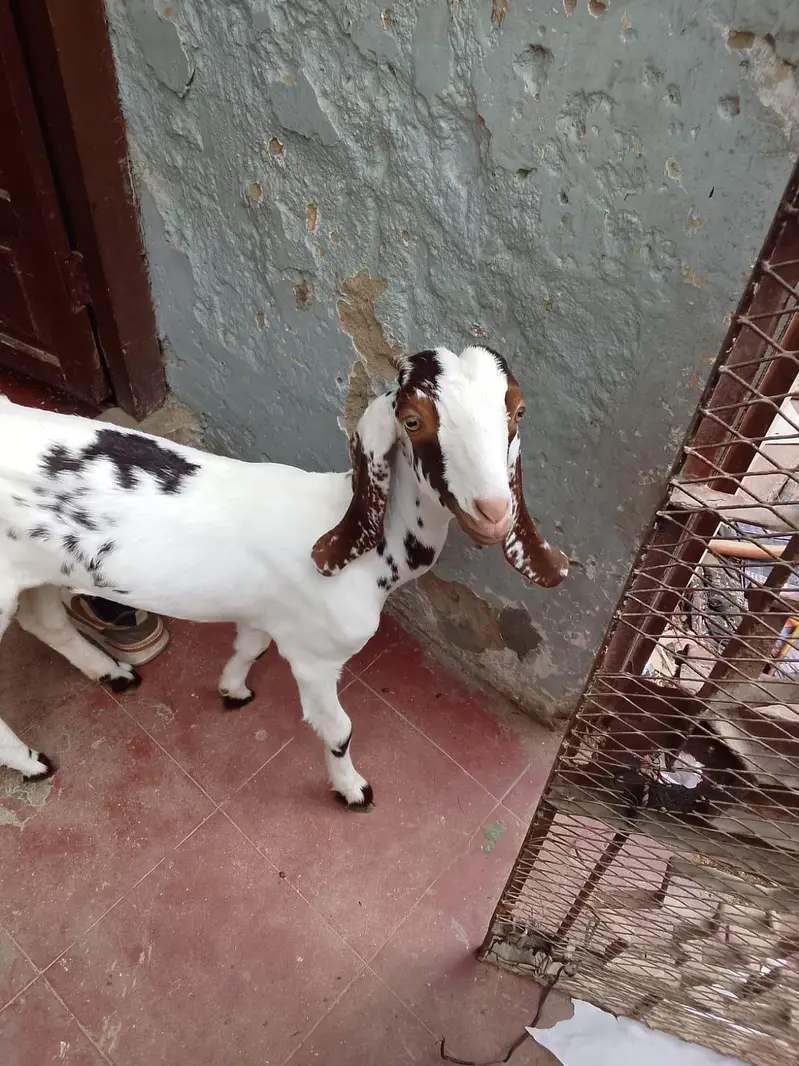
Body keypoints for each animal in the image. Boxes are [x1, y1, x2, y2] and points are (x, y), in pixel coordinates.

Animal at [0, 345, 568, 807]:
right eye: (412, 420)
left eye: (517, 411)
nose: (493, 514)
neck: (353, 538)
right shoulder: (316, 657)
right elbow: (338, 729)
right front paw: (351, 788)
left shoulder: (268, 615)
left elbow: (250, 647)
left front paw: (232, 688)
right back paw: (32, 762)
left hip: (43, 567)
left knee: (44, 620)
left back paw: (110, 672)